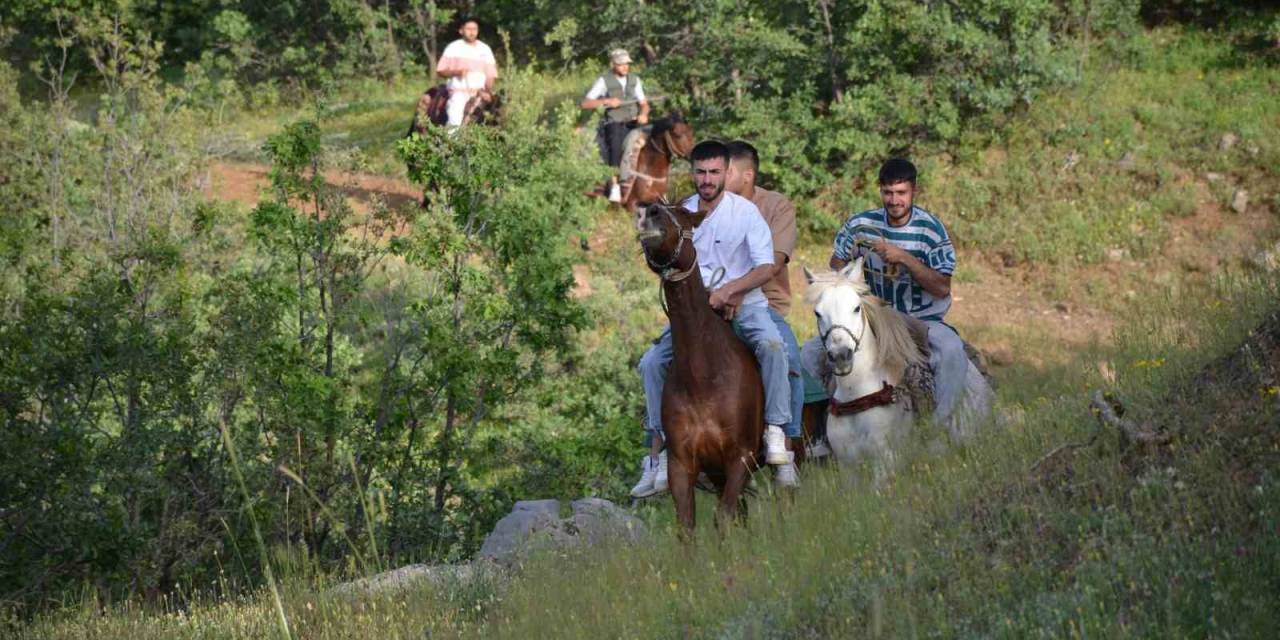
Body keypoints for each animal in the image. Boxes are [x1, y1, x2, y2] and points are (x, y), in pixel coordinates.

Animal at [637, 202, 762, 532]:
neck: (703, 378)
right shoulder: (682, 465)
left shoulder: (740, 458)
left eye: (683, 213)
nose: (649, 211)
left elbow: (724, 518)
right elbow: (688, 525)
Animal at [803, 259, 993, 483]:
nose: (841, 356)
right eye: (817, 313)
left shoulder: (885, 462)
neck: (857, 395)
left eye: (856, 308)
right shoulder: (849, 468)